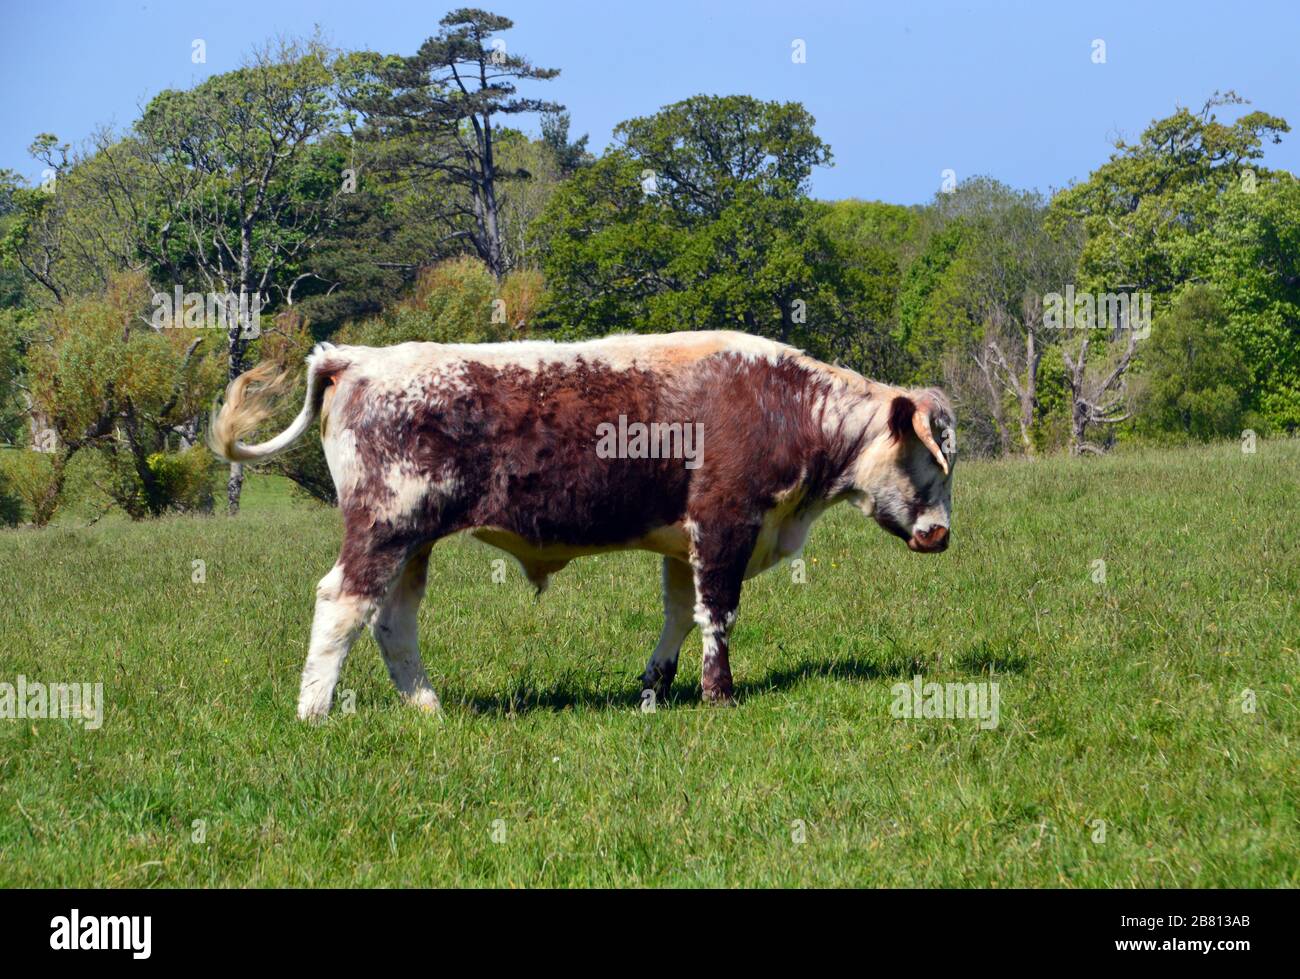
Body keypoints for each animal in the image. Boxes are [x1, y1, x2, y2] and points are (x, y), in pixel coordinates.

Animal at [208, 328, 951, 717]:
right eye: (931, 459)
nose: (941, 533)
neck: (784, 402)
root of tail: (356, 357)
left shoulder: (682, 540)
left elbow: (679, 615)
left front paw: (654, 688)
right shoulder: (725, 524)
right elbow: (718, 616)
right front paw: (720, 696)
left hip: (412, 541)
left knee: (392, 621)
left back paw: (429, 709)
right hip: (385, 525)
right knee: (341, 603)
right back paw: (314, 713)